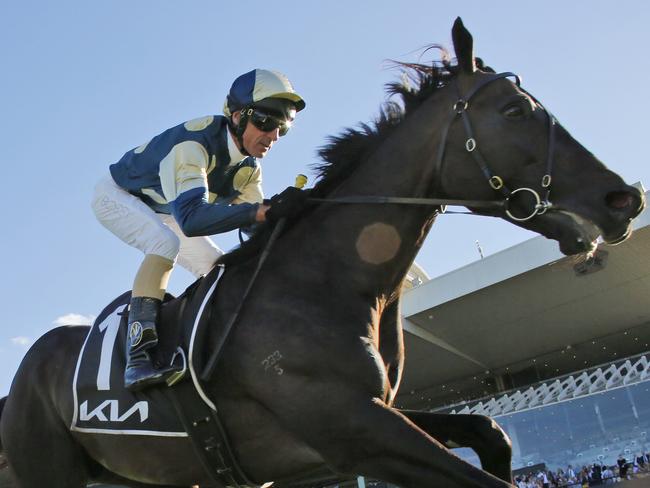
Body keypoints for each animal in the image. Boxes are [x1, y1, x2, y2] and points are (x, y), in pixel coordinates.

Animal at [0, 18, 644, 488]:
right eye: (514, 111)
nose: (624, 198)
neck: (330, 281)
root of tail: (18, 384)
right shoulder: (352, 431)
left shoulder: (373, 413)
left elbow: (491, 428)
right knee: (161, 239)